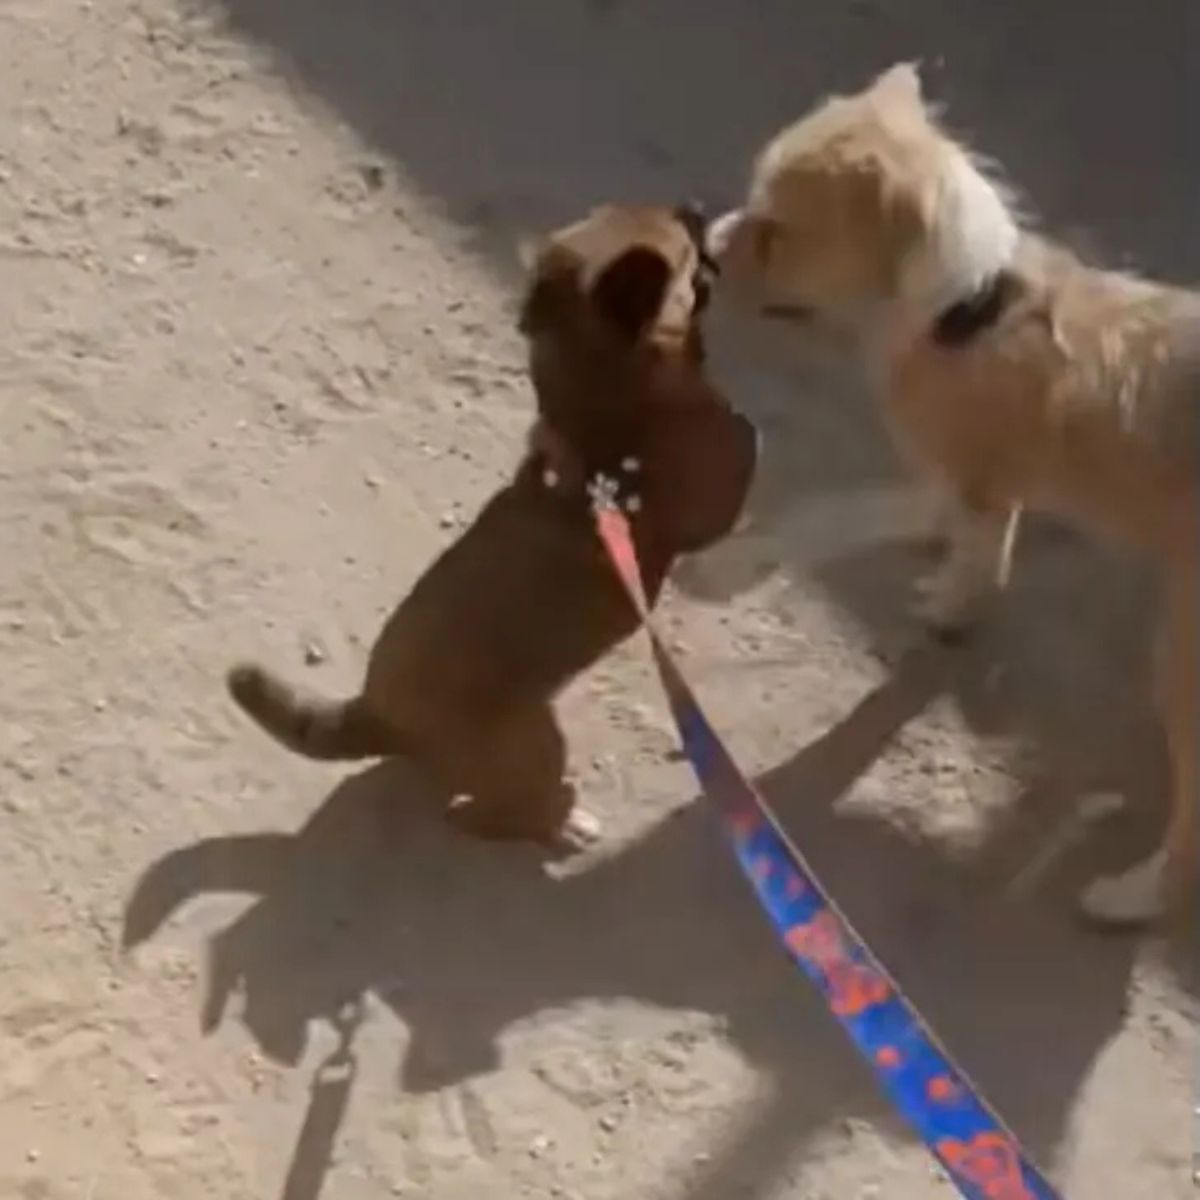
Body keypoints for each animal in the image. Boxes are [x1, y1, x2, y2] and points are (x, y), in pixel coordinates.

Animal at [228, 204, 753, 844]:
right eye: (681, 243)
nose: (695, 209)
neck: (604, 400)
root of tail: (375, 713)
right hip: (533, 743)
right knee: (498, 813)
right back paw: (558, 820)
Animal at [710, 63, 1200, 926]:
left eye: (777, 229)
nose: (701, 247)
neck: (963, 307)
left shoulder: (958, 477)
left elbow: (833, 513)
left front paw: (728, 564)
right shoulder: (985, 490)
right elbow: (969, 555)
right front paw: (952, 599)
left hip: (1183, 655)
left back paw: (1129, 896)